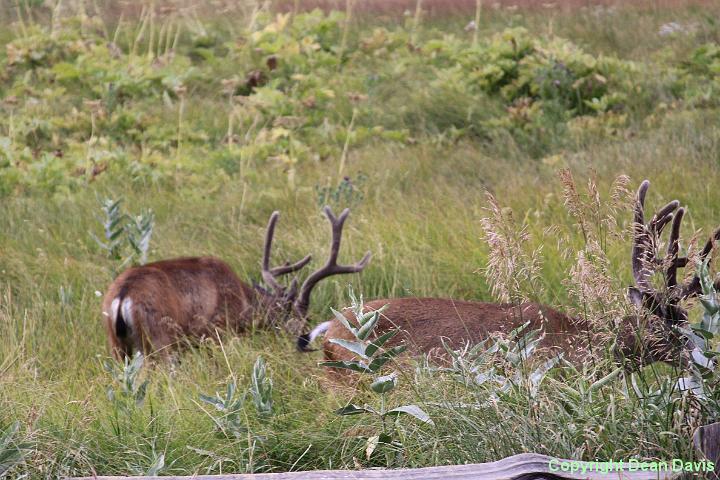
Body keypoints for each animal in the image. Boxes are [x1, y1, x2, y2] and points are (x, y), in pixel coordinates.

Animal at [102, 206, 372, 360]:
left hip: (117, 345)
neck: (243, 301)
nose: (304, 343)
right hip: (160, 338)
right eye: (303, 318)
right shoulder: (216, 332)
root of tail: (123, 296)